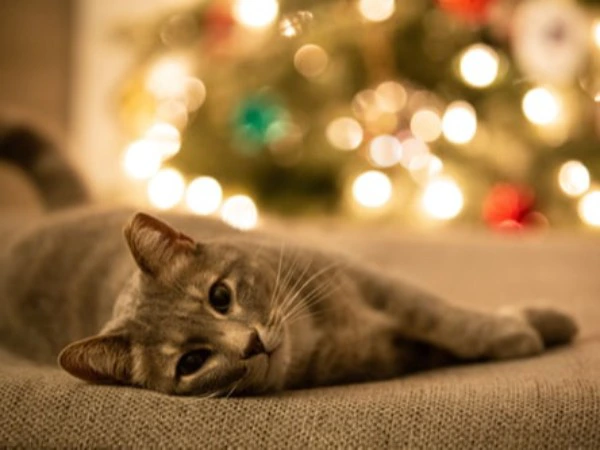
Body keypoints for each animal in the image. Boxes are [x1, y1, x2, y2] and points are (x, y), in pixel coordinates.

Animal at [0, 123, 580, 398]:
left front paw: (529, 327)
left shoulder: (361, 276)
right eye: (191, 363)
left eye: (220, 296)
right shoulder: (386, 352)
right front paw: (528, 329)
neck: (321, 332)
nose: (251, 344)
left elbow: (441, 313)